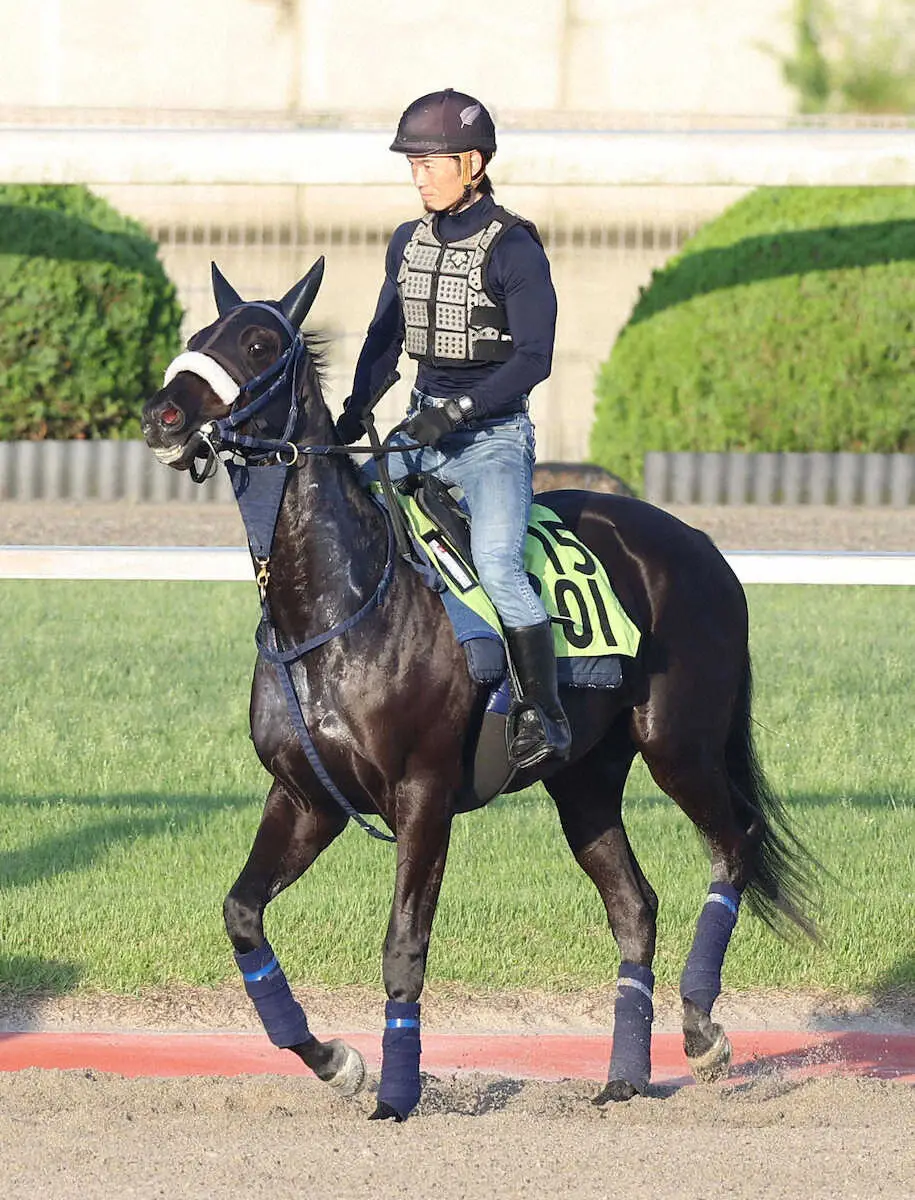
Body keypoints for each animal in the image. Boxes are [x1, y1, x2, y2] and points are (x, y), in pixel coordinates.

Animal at [141, 259, 815, 1121]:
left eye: (258, 343)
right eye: (198, 334)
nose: (162, 415)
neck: (338, 603)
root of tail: (699, 543)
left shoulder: (422, 794)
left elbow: (403, 945)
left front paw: (395, 1091)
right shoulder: (306, 798)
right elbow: (242, 917)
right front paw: (338, 1063)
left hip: (679, 744)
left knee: (735, 845)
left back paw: (700, 1030)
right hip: (584, 780)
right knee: (634, 905)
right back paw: (624, 1074)